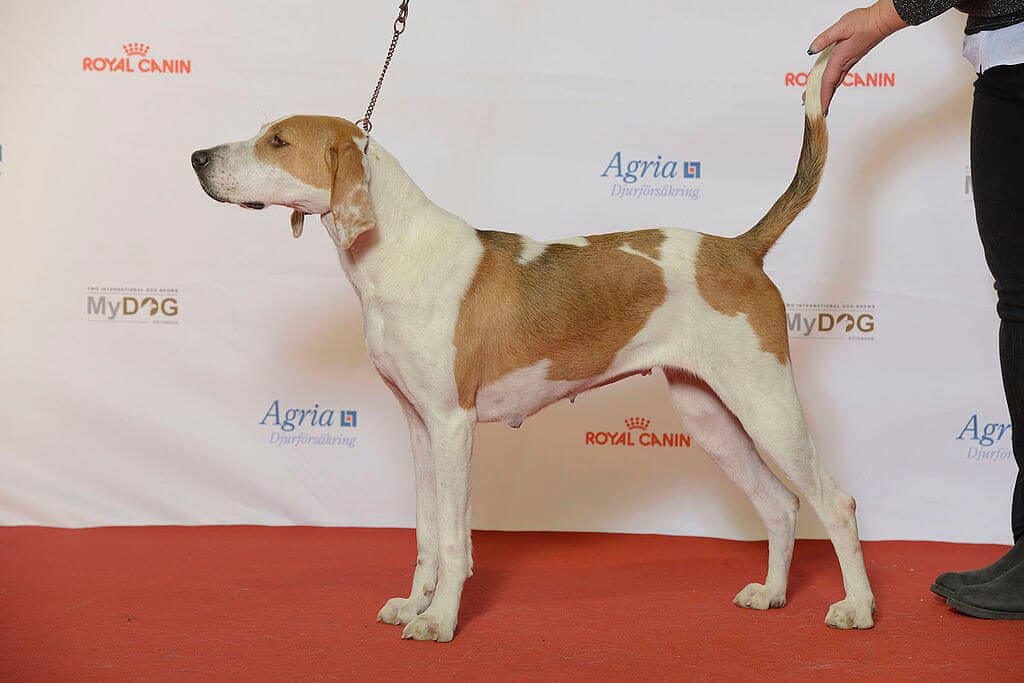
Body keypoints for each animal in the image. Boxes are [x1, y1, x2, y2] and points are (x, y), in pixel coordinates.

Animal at [190, 49, 872, 643]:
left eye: (278, 142)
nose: (196, 156)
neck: (394, 255)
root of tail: (739, 247)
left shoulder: (453, 423)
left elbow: (454, 540)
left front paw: (439, 621)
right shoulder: (418, 424)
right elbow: (426, 535)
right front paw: (414, 603)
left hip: (767, 403)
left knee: (835, 502)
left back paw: (857, 607)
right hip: (709, 414)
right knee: (781, 504)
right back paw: (773, 593)